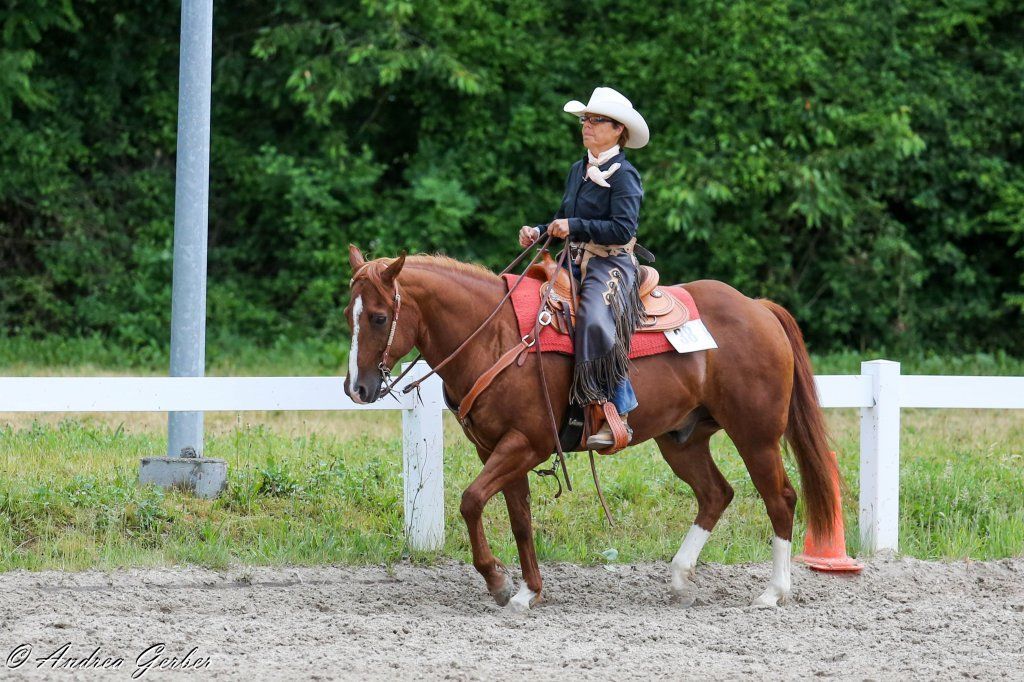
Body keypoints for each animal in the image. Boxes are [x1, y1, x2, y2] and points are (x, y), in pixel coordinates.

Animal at [343, 245, 839, 612]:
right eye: (350, 314)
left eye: (379, 317)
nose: (357, 388)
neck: (496, 336)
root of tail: (758, 308)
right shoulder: (498, 449)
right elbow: (519, 518)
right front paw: (527, 591)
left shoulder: (526, 444)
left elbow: (470, 501)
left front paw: (499, 581)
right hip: (683, 440)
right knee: (716, 493)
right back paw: (680, 578)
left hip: (756, 436)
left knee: (781, 499)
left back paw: (773, 592)